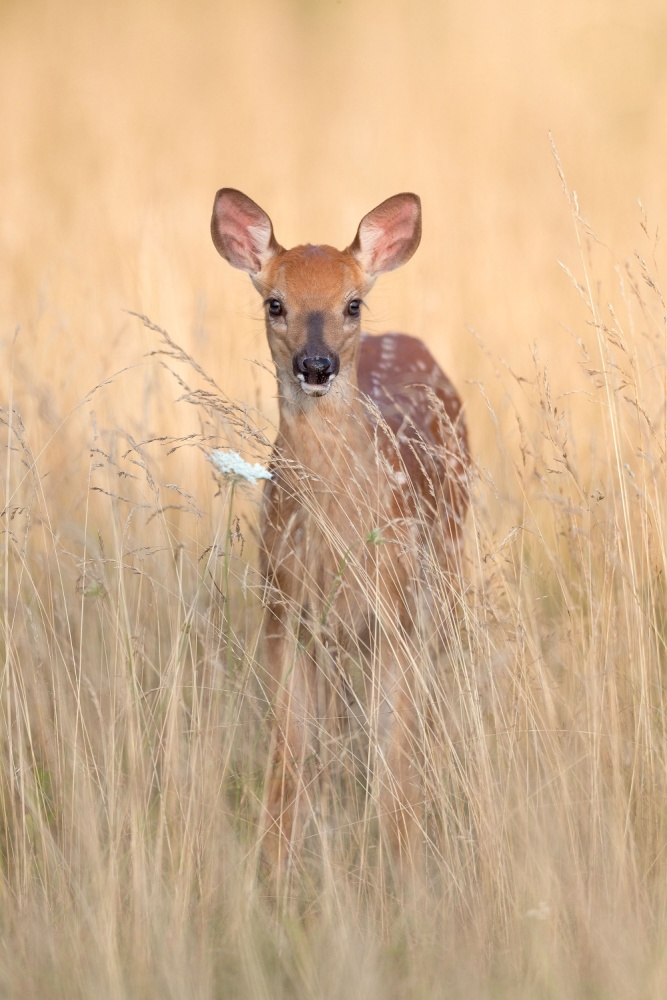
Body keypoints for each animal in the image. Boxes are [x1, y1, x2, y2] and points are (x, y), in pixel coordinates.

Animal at [210, 188, 470, 876]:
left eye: (352, 302)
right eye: (275, 302)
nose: (317, 365)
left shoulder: (396, 611)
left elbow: (396, 751)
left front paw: (405, 863)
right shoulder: (280, 607)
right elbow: (290, 748)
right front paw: (274, 866)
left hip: (450, 559)